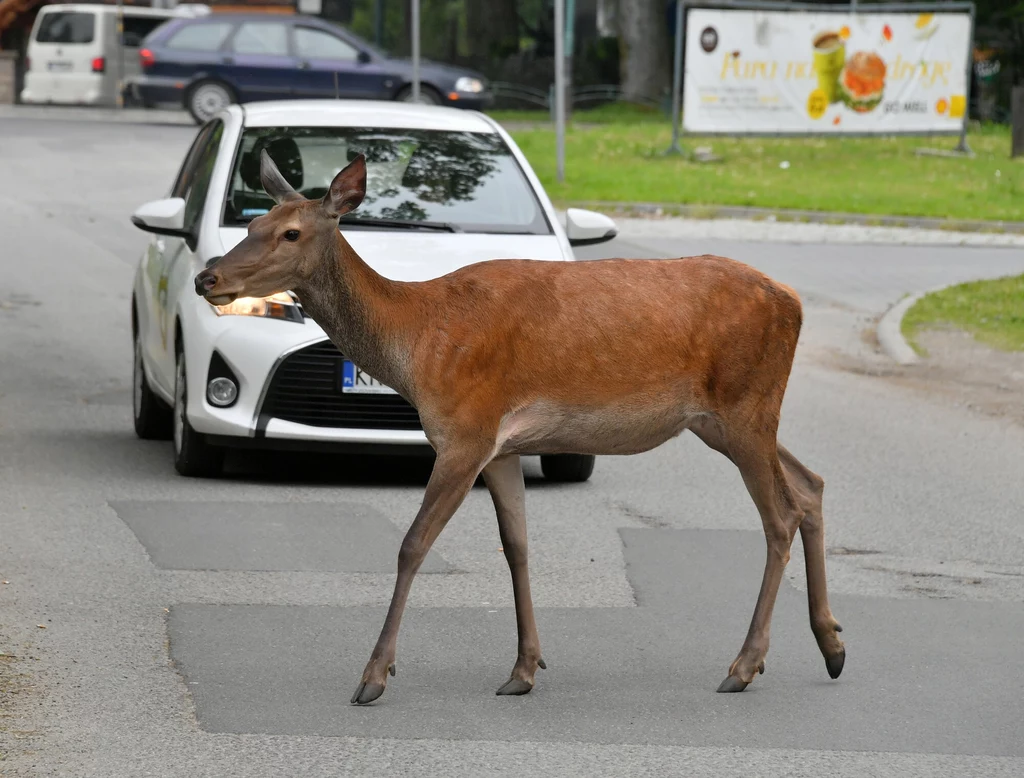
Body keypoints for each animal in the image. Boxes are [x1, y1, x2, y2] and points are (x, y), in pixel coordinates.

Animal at [193, 150, 847, 704]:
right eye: (253, 223)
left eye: (291, 233)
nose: (208, 278)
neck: (418, 343)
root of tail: (794, 303)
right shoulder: (502, 447)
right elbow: (517, 546)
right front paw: (524, 669)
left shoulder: (466, 431)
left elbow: (413, 544)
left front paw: (373, 677)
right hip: (724, 420)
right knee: (811, 484)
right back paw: (832, 647)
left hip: (746, 405)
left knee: (780, 515)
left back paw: (744, 666)